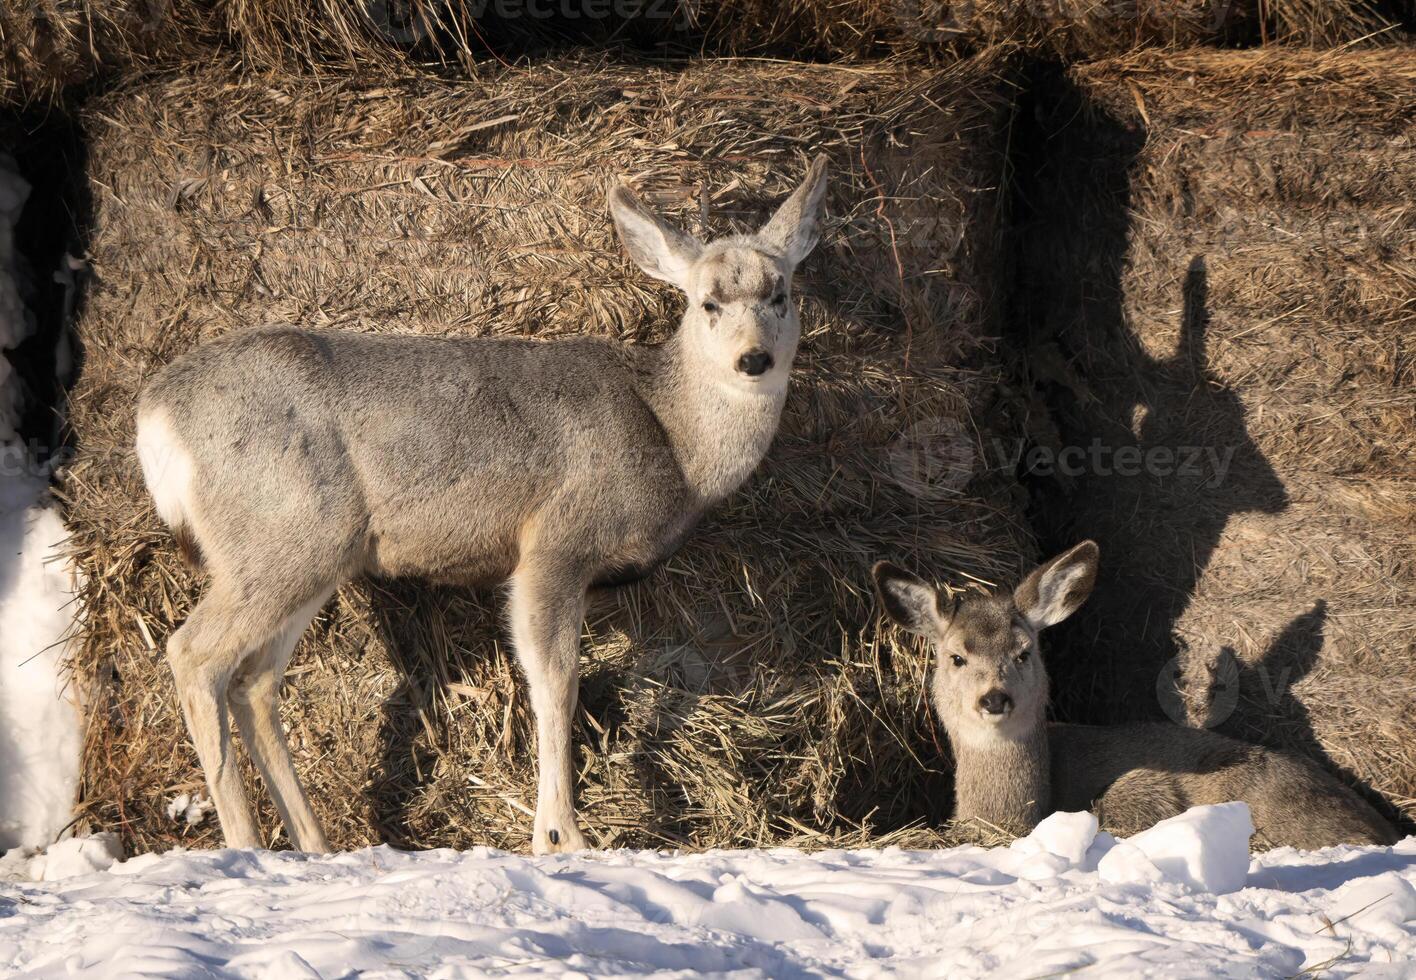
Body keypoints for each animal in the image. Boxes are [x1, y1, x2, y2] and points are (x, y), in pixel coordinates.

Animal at [135, 157, 826, 855]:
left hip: (306, 554)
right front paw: (561, 837)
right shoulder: (555, 543)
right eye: (707, 301)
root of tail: (154, 415)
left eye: (781, 294)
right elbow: (555, 684)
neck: (672, 435)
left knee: (254, 683)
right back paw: (246, 844)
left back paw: (315, 845)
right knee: (194, 655)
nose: (754, 358)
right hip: (282, 533)